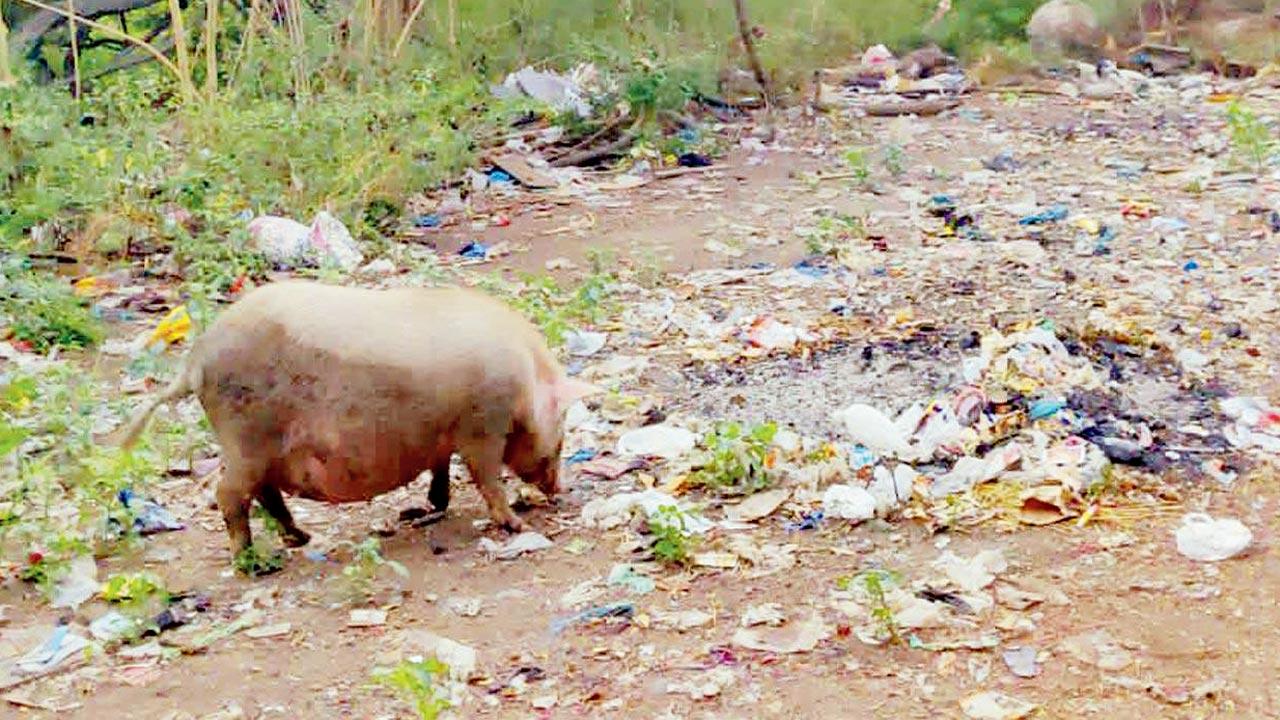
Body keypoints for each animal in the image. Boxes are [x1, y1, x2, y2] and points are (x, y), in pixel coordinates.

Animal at [115, 279, 599, 556]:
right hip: (245, 436)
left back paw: (301, 539)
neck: (526, 384)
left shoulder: (445, 435)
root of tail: (195, 362)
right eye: (562, 435)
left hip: (257, 447)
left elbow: (440, 472)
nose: (559, 490)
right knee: (229, 494)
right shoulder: (482, 427)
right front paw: (516, 524)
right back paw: (252, 563)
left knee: (265, 494)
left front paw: (429, 507)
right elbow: (487, 477)